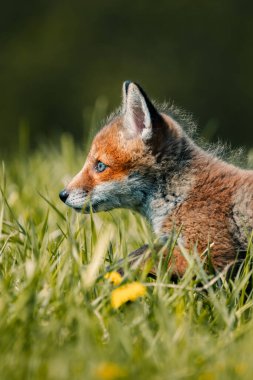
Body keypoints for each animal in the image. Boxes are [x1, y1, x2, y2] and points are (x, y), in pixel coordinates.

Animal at [58, 81, 253, 276]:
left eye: (100, 166)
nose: (62, 195)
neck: (180, 194)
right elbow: (141, 252)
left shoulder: (208, 253)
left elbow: (140, 259)